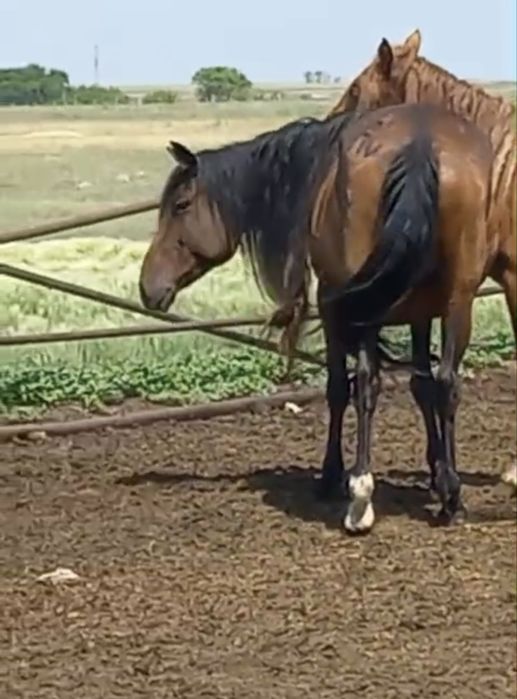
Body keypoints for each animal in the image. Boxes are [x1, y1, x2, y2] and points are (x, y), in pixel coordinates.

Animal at [139, 102, 493, 534]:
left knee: (367, 384)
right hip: (459, 300)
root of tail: (419, 141)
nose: (147, 287)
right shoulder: (422, 310)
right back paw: (452, 497)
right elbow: (423, 385)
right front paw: (437, 473)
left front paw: (332, 475)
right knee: (447, 384)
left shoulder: (330, 301)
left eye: (181, 205)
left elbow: (339, 387)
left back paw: (361, 497)